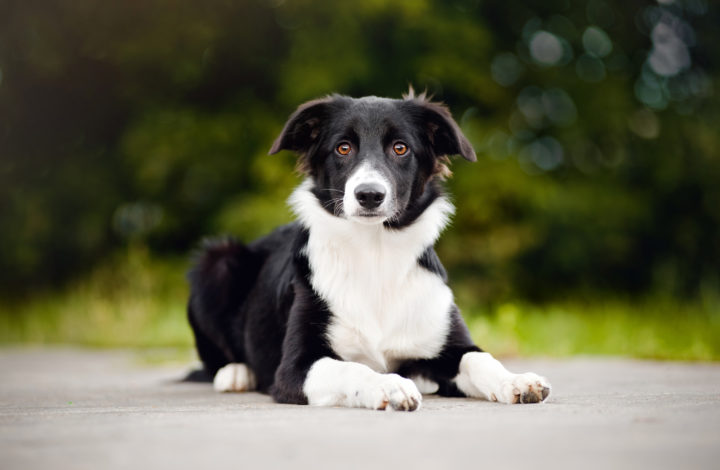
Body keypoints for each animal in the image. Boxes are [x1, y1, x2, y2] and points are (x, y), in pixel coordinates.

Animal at [187, 90, 552, 410]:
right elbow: (352, 367)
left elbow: (480, 358)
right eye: (343, 148)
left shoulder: (449, 344)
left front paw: (516, 380)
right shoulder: (294, 368)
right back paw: (235, 373)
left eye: (400, 148)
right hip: (216, 262)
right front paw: (388, 384)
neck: (375, 252)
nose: (369, 195)